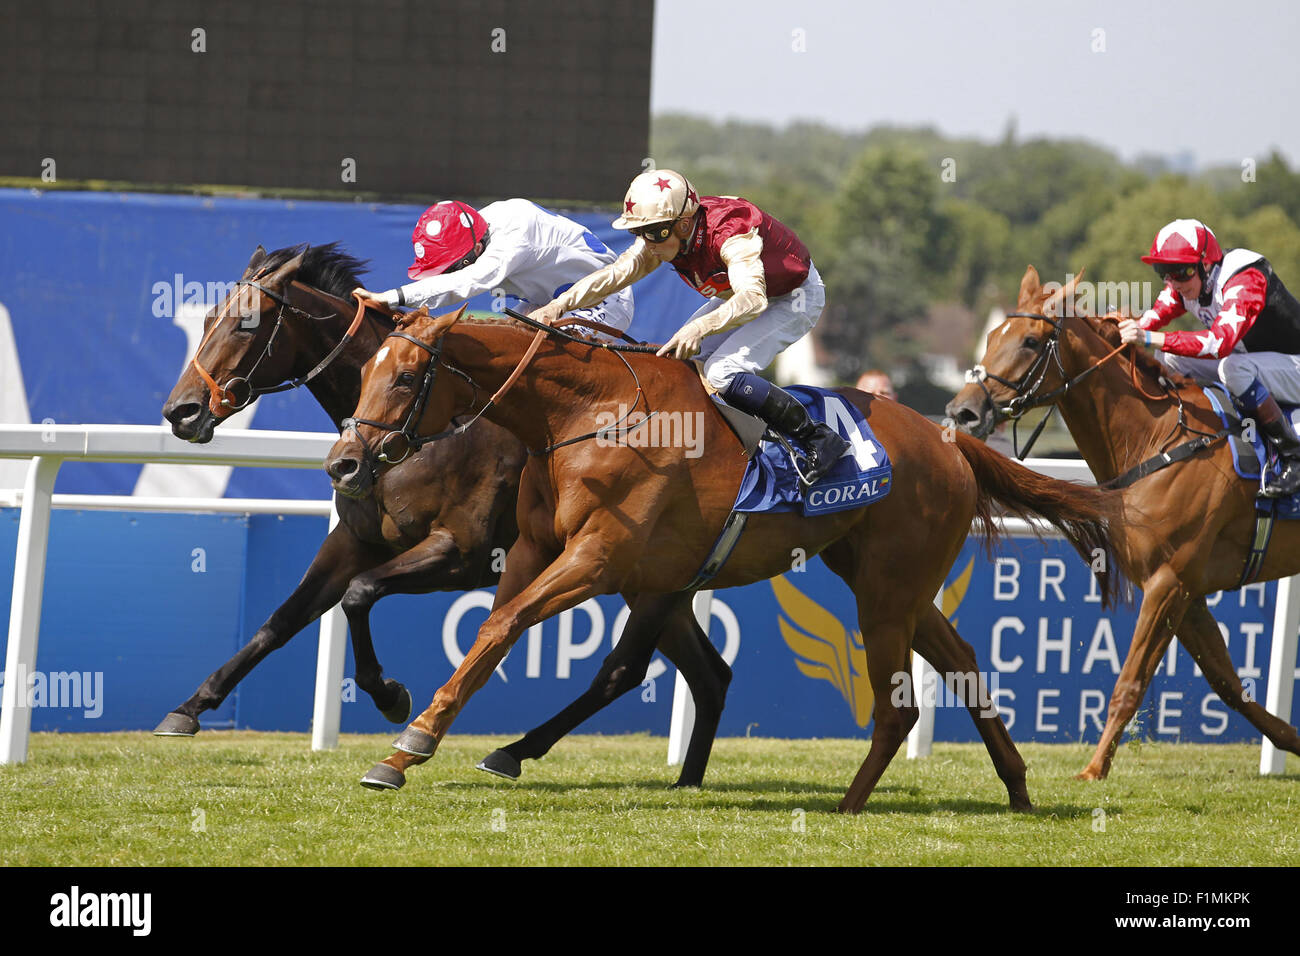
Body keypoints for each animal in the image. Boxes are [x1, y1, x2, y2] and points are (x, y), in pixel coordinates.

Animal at [325, 306, 1118, 816]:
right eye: (363, 374)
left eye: (405, 379)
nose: (343, 462)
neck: (585, 414)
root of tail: (949, 441)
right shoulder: (533, 551)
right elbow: (465, 624)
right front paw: (406, 720)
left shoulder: (600, 559)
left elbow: (502, 630)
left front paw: (408, 743)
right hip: (887, 583)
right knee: (962, 661)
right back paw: (1017, 787)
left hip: (885, 593)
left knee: (900, 706)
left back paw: (849, 805)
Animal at [946, 265, 1300, 780]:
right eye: (992, 336)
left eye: (1031, 341)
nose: (963, 411)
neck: (1160, 438)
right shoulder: (1189, 592)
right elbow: (1229, 685)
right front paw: (1293, 740)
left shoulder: (1168, 582)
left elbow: (1130, 683)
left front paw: (1094, 769)